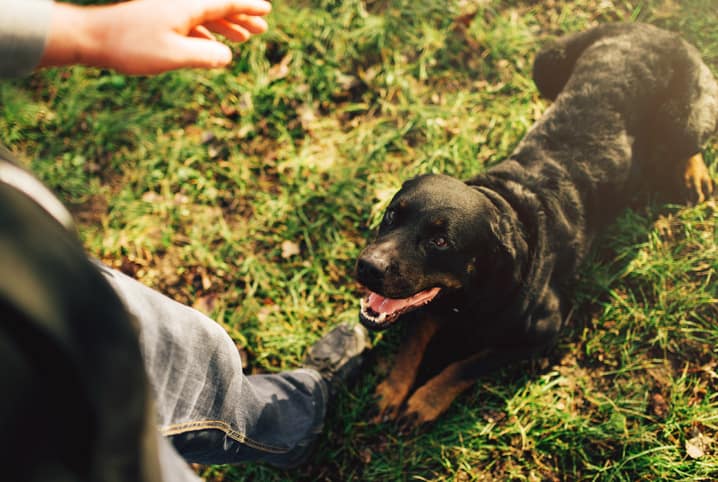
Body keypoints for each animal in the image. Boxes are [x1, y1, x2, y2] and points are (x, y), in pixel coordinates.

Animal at [358, 24, 716, 428]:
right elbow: (413, 339)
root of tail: (649, 28)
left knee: (694, 141)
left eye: (440, 241)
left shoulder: (544, 329)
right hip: (545, 64)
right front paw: (393, 389)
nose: (367, 266)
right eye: (392, 214)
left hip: (683, 122)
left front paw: (425, 400)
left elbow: (468, 364)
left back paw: (694, 175)